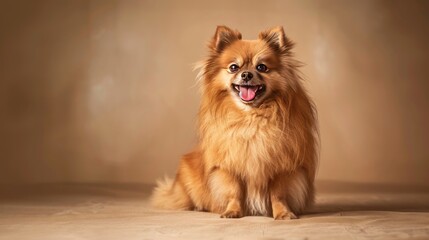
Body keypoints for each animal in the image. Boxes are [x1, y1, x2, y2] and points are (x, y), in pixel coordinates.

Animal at [151, 25, 318, 219]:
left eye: (262, 67)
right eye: (233, 67)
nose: (246, 74)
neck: (251, 117)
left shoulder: (281, 166)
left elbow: (278, 194)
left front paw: (283, 213)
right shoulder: (229, 166)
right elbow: (234, 191)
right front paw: (232, 211)